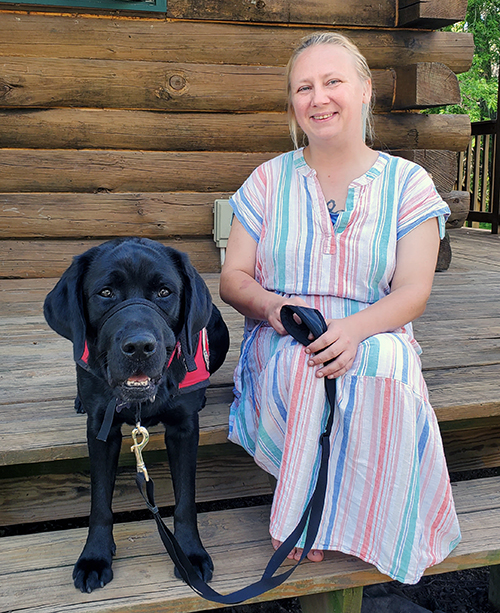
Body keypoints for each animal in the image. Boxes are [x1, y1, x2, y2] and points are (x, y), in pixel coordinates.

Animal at [43, 237, 230, 592]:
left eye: (164, 292)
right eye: (105, 293)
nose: (140, 347)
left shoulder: (184, 430)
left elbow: (186, 500)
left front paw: (190, 554)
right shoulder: (101, 428)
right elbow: (100, 502)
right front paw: (94, 557)